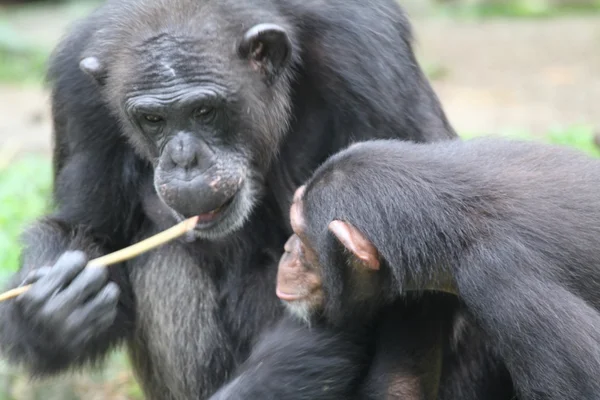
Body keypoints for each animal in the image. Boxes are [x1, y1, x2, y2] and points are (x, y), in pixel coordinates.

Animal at [0, 0, 506, 398]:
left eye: (205, 110)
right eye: (152, 119)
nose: (184, 159)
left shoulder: (368, 57)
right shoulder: (77, 89)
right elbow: (89, 228)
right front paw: (50, 311)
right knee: (163, 261)